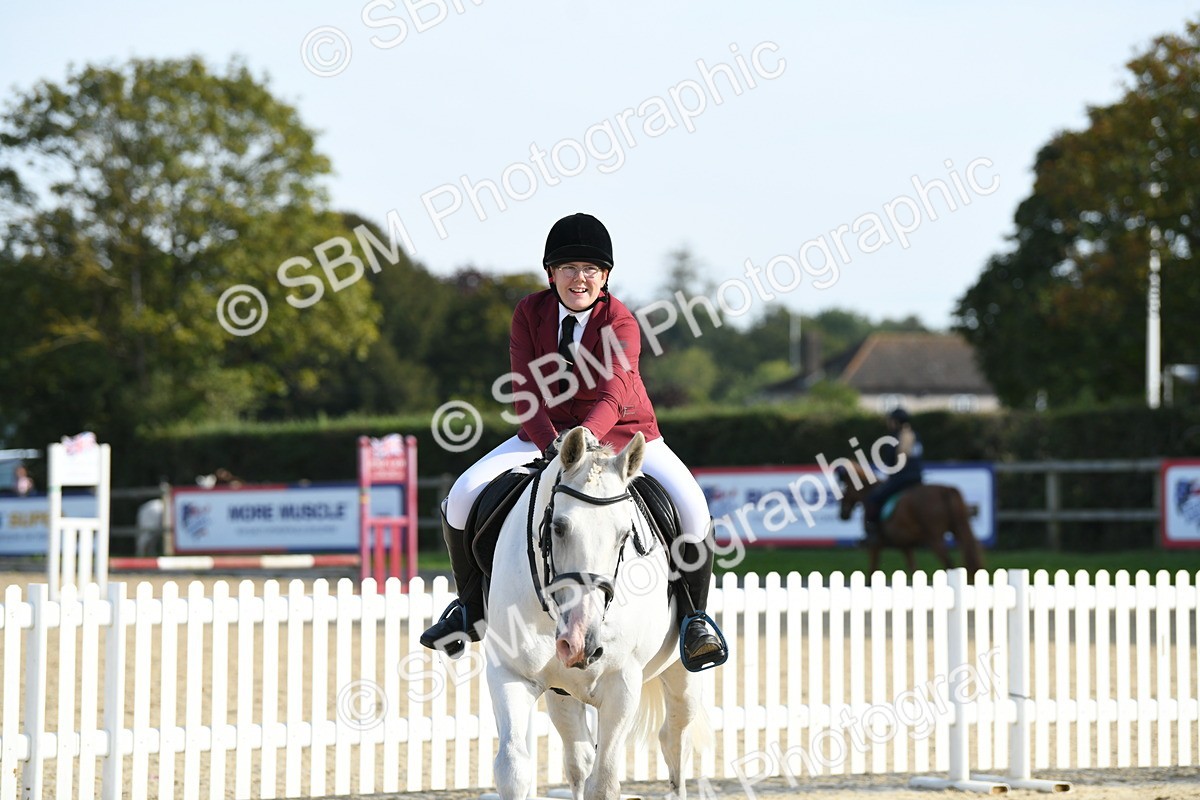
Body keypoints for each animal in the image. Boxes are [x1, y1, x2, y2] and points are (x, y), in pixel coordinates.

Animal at [483, 426, 709, 800]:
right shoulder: (509, 673)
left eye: (624, 535)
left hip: (682, 675)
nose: (580, 643)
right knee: (578, 759)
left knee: (675, 740)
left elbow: (603, 783)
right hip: (561, 692)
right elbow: (513, 770)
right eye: (558, 527)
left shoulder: (622, 685)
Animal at [836, 463, 984, 576]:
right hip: (959, 530)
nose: (842, 514)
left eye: (843, 487)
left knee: (950, 565)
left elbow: (871, 572)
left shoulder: (875, 545)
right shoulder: (906, 546)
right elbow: (914, 570)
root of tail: (946, 489)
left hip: (935, 539)